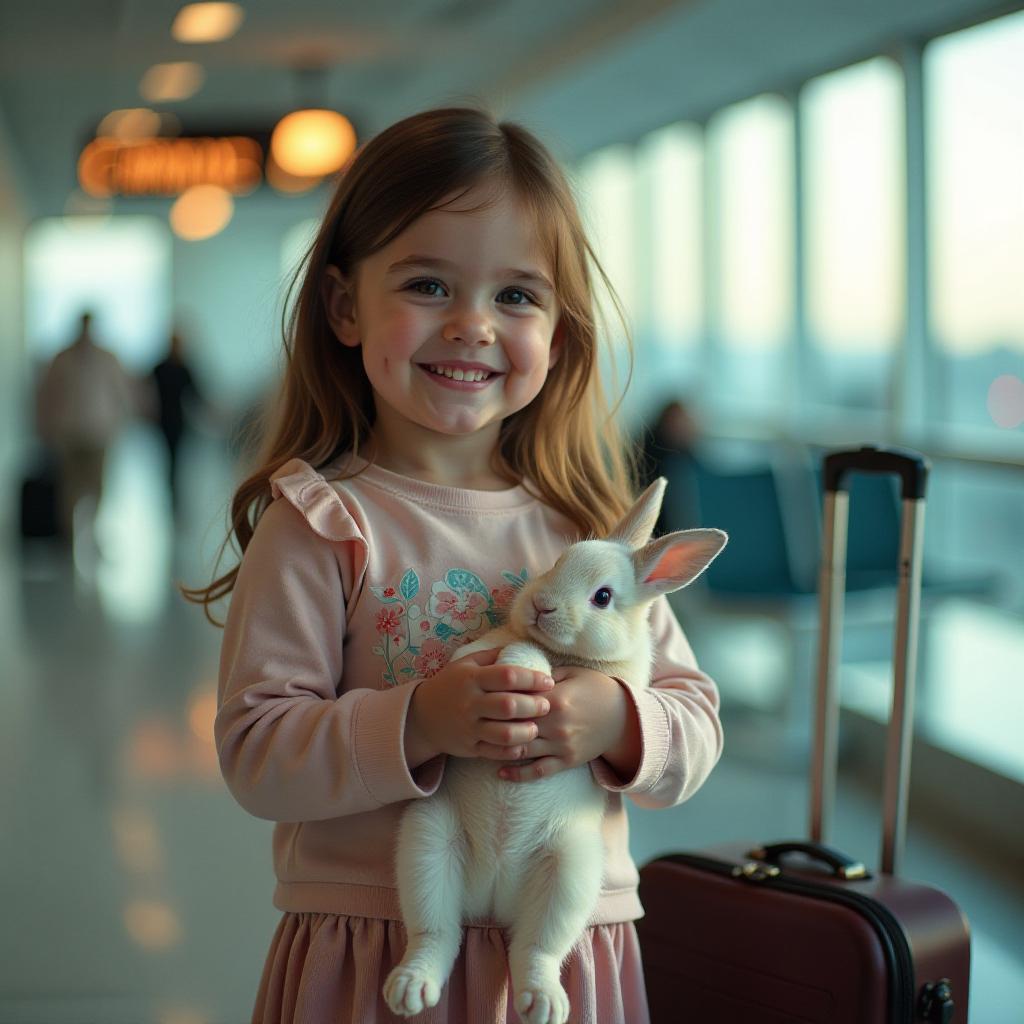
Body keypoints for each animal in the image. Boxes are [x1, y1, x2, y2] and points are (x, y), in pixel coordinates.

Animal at [385, 479, 729, 1024]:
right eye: (556, 562)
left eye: (603, 597)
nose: (541, 605)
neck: (563, 651)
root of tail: (494, 896)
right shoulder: (479, 653)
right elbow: (508, 651)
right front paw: (526, 670)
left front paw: (533, 671)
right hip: (428, 848)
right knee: (437, 936)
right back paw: (411, 988)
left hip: (569, 872)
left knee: (535, 950)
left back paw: (541, 1001)